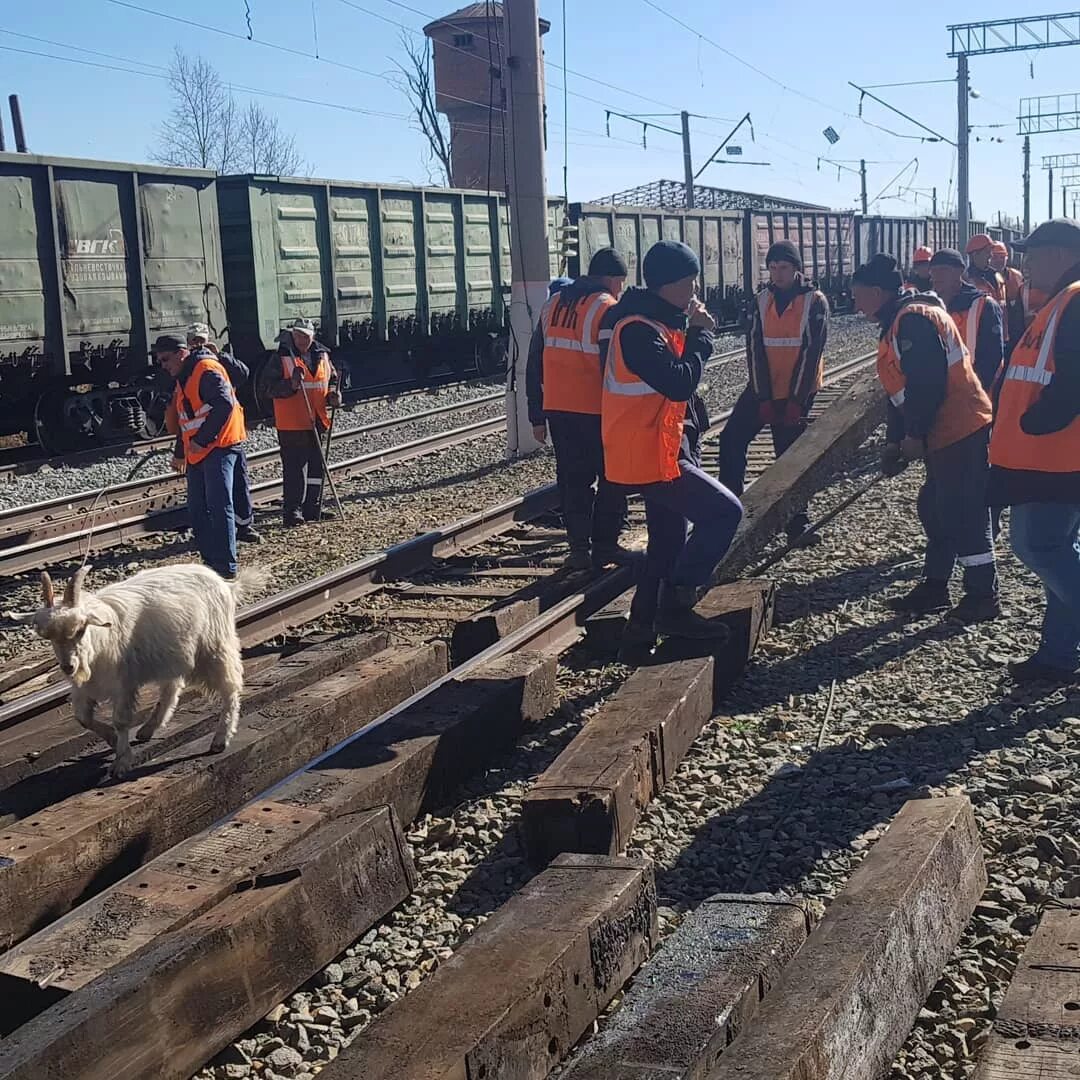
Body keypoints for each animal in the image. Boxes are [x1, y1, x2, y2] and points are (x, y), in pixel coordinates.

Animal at [16, 561, 263, 781]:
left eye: (81, 629)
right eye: (48, 637)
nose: (68, 666)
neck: (98, 642)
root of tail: (225, 584)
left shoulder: (123, 683)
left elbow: (121, 721)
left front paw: (121, 761)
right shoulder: (85, 687)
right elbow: (83, 718)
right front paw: (112, 739)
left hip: (215, 648)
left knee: (230, 689)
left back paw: (220, 739)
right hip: (174, 653)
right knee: (172, 687)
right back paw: (149, 729)